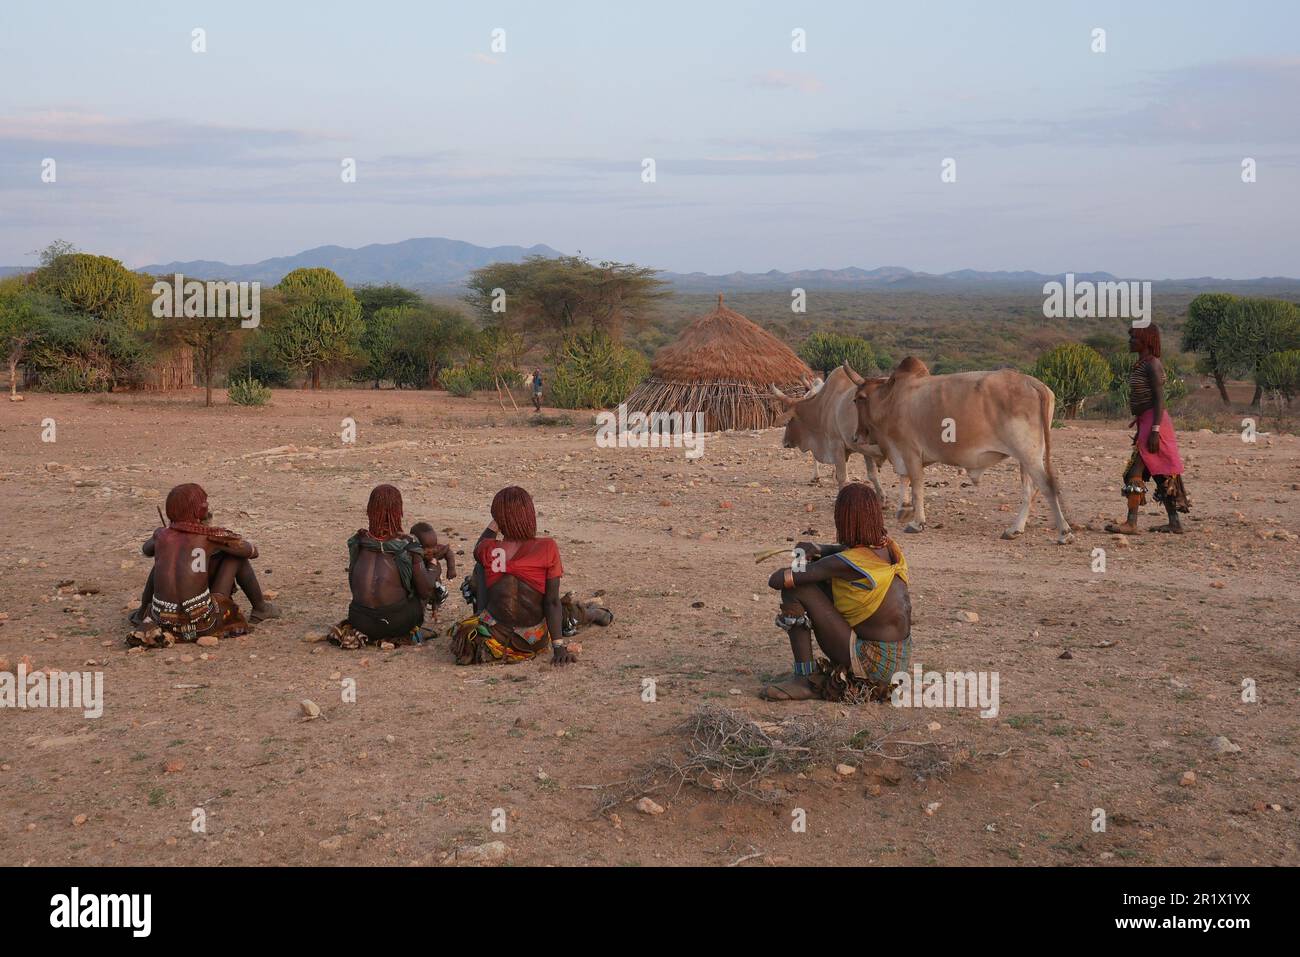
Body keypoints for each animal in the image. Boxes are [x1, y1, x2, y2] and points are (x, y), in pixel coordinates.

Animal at [769, 366, 883, 494]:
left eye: (789, 420)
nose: (784, 441)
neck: (822, 405)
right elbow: (871, 474)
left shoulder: (836, 442)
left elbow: (842, 475)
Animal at [847, 358, 1071, 540]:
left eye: (857, 399)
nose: (856, 436)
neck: (891, 399)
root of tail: (1034, 383)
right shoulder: (904, 455)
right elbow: (905, 480)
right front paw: (904, 510)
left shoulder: (909, 451)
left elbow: (916, 486)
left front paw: (917, 523)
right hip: (1027, 457)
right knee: (1030, 489)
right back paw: (1014, 530)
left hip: (1028, 453)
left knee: (1047, 486)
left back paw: (1064, 532)